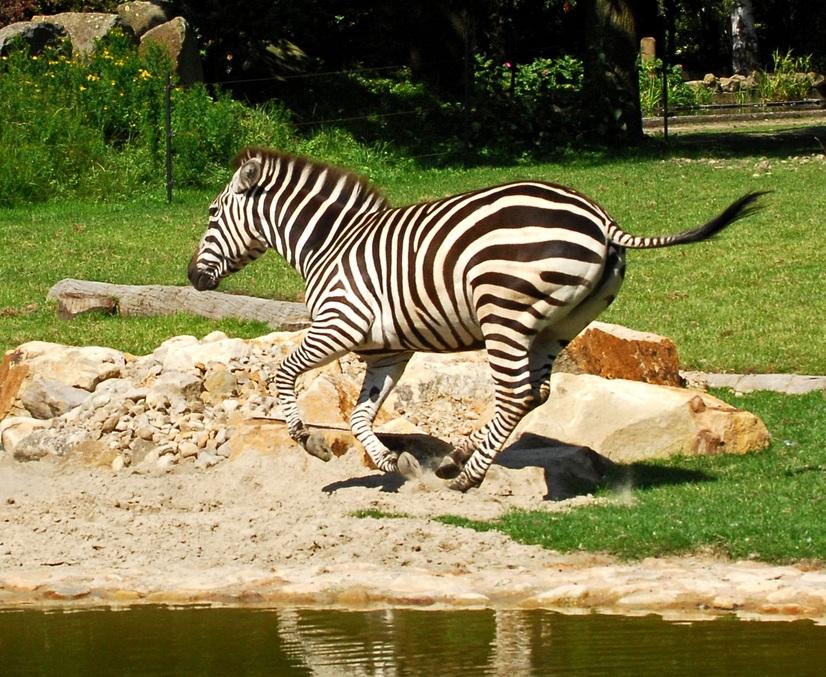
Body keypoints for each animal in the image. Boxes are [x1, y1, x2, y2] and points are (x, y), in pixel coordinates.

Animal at [188, 148, 765, 492]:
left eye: (213, 215)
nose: (192, 277)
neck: (332, 244)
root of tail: (602, 219)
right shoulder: (387, 351)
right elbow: (360, 414)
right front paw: (387, 463)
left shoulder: (340, 324)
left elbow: (283, 373)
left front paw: (306, 439)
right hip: (559, 326)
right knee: (535, 394)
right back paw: (456, 460)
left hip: (504, 312)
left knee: (514, 395)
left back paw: (468, 475)